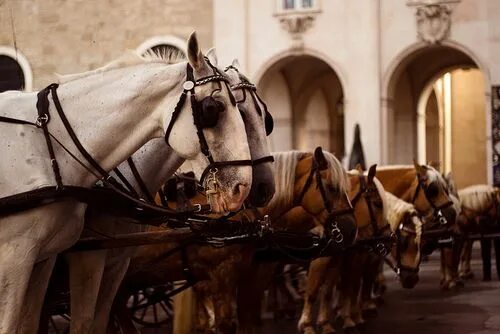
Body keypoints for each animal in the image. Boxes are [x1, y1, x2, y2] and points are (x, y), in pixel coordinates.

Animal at [119, 147, 358, 332]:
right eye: (332, 187)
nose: (352, 229)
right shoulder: (222, 275)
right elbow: (227, 323)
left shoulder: (248, 275)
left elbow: (247, 320)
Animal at [296, 166, 390, 334]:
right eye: (378, 203)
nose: (389, 237)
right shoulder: (321, 260)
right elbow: (313, 291)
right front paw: (306, 325)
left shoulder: (343, 258)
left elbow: (340, 288)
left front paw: (339, 321)